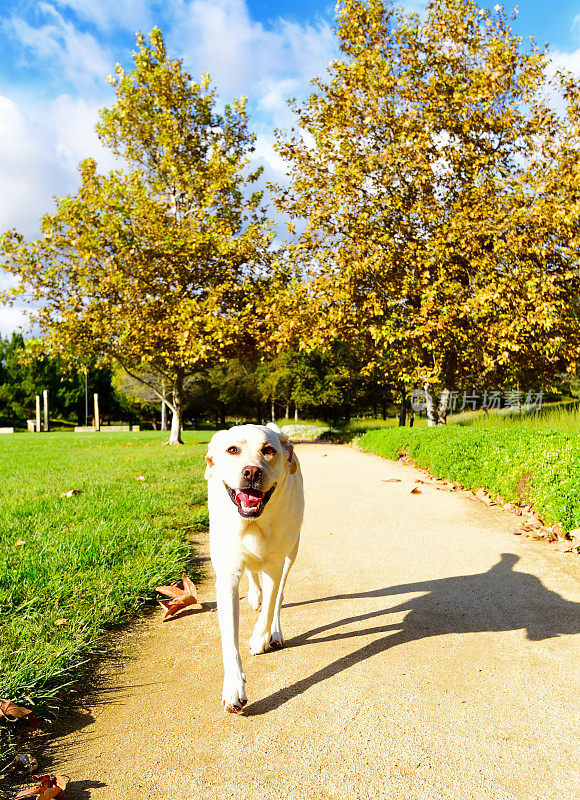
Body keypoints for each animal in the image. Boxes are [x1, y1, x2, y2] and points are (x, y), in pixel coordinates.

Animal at [204, 422, 304, 708]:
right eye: (232, 450)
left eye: (268, 450)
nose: (251, 471)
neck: (253, 523)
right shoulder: (227, 574)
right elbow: (229, 638)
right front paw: (233, 687)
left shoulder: (275, 564)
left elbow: (271, 605)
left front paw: (261, 637)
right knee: (252, 573)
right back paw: (253, 595)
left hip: (292, 551)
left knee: (279, 595)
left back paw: (275, 632)